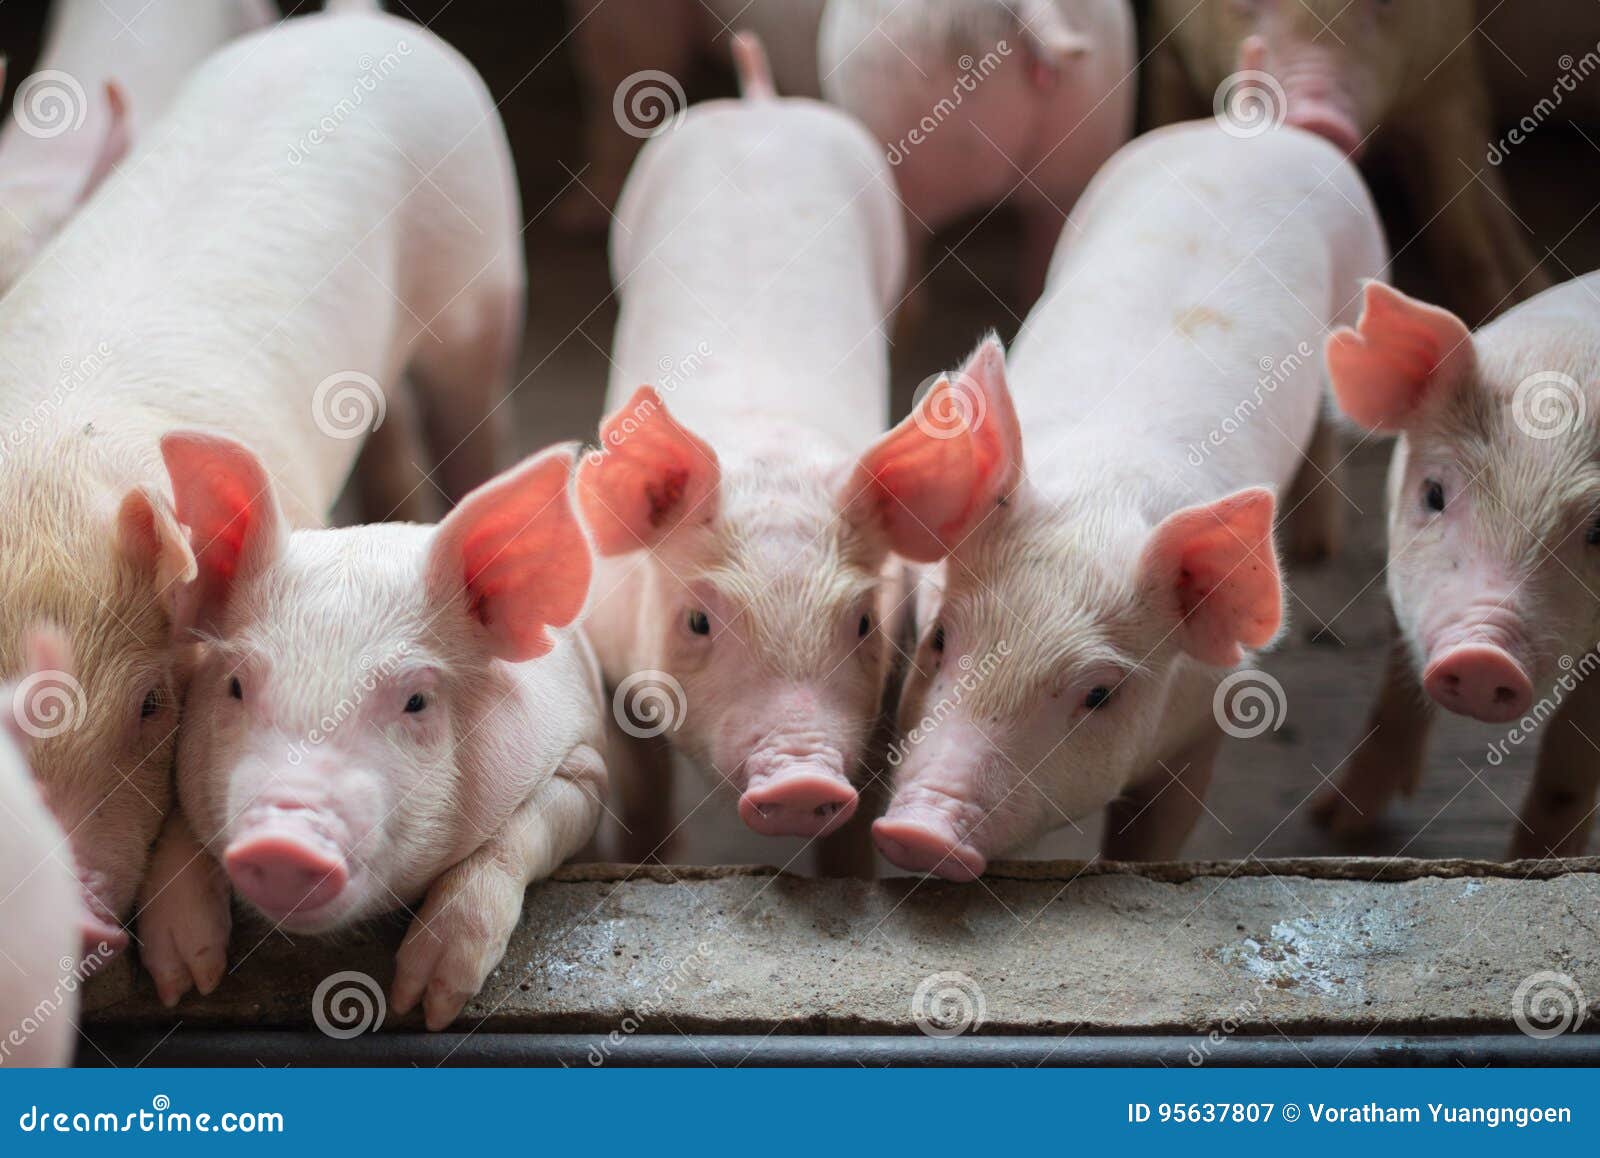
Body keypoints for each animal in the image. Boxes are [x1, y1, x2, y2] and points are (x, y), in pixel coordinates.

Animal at [137, 435, 604, 1030]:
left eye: (417, 701)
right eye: (236, 685)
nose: (283, 840)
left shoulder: (583, 766)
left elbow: (512, 838)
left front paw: (426, 1005)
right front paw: (183, 985)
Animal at [1312, 268, 1600, 850]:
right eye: (1433, 494)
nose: (1481, 656)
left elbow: (1569, 767)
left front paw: (1531, 862)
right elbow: (1394, 698)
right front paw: (1335, 827)